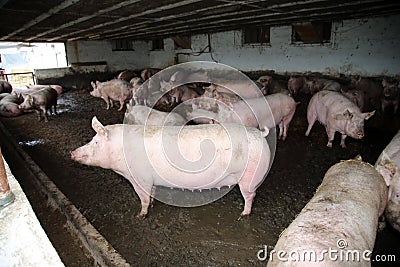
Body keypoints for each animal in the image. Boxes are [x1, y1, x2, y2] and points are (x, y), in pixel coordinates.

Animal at [71, 118, 272, 219]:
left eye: (96, 142)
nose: (72, 152)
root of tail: (260, 134)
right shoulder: (149, 180)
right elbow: (151, 194)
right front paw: (152, 204)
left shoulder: (140, 178)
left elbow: (143, 197)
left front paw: (140, 215)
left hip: (249, 175)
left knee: (250, 195)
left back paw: (244, 214)